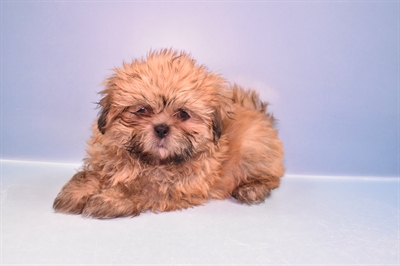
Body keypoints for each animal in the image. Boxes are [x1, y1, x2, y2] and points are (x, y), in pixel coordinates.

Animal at [53, 48, 284, 218]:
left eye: (183, 114)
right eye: (142, 110)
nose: (162, 128)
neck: (150, 161)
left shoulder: (180, 184)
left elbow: (143, 187)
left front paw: (110, 199)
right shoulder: (108, 157)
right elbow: (94, 173)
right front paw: (76, 191)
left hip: (252, 149)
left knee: (271, 178)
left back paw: (252, 189)